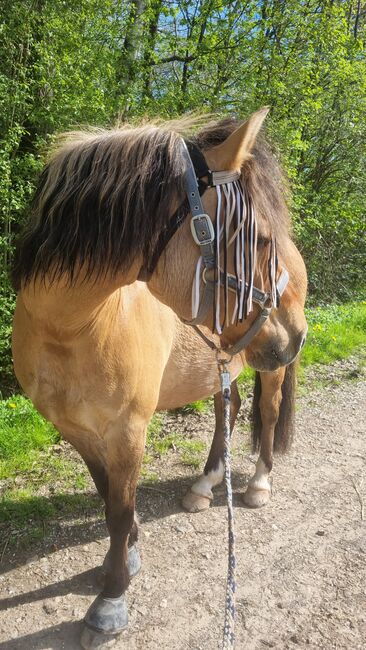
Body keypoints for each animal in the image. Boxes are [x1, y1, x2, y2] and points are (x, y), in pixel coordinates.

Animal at [12, 109, 306, 644]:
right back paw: (205, 485)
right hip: (226, 362)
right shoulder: (75, 429)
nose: (296, 332)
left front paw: (110, 600)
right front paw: (127, 553)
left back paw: (257, 485)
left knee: (269, 413)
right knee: (230, 410)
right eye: (259, 239)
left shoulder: (129, 429)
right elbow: (107, 495)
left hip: (268, 366)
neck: (73, 327)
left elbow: (118, 507)